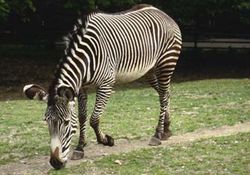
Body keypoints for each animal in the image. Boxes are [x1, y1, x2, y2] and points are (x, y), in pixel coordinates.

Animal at [23, 4, 182, 170]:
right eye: (46, 121)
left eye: (66, 122)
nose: (55, 163)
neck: (85, 58)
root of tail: (162, 12)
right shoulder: (81, 88)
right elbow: (82, 117)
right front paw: (80, 148)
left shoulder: (106, 84)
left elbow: (94, 119)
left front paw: (106, 140)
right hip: (149, 71)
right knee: (165, 94)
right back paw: (166, 130)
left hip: (166, 63)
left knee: (163, 96)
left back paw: (157, 134)